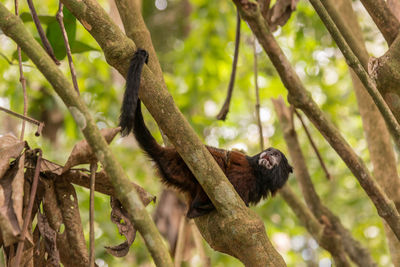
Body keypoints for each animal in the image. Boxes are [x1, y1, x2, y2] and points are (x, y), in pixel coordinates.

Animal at [119, 49, 294, 219]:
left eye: (276, 155)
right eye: (269, 151)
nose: (269, 154)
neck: (259, 175)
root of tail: (169, 153)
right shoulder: (243, 174)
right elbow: (229, 164)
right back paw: (200, 206)